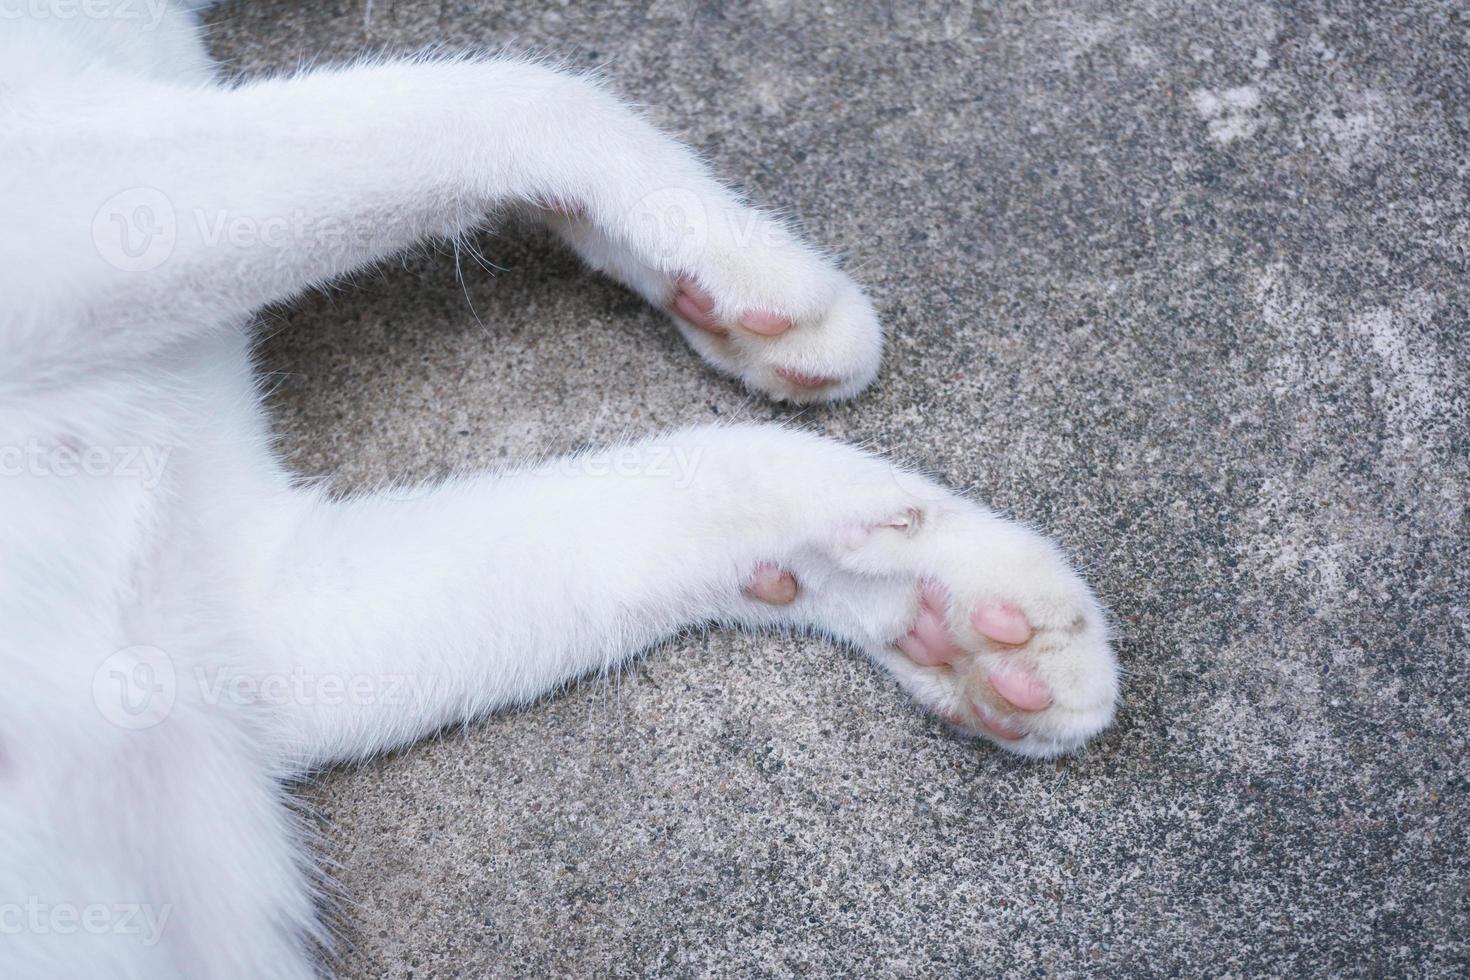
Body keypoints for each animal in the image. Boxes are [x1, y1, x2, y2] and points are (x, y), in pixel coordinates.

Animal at [2, 3, 1111, 975]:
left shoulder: (245, 615)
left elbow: (708, 476)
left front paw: (949, 592)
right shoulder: (50, 202)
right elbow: (518, 86)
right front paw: (740, 255)